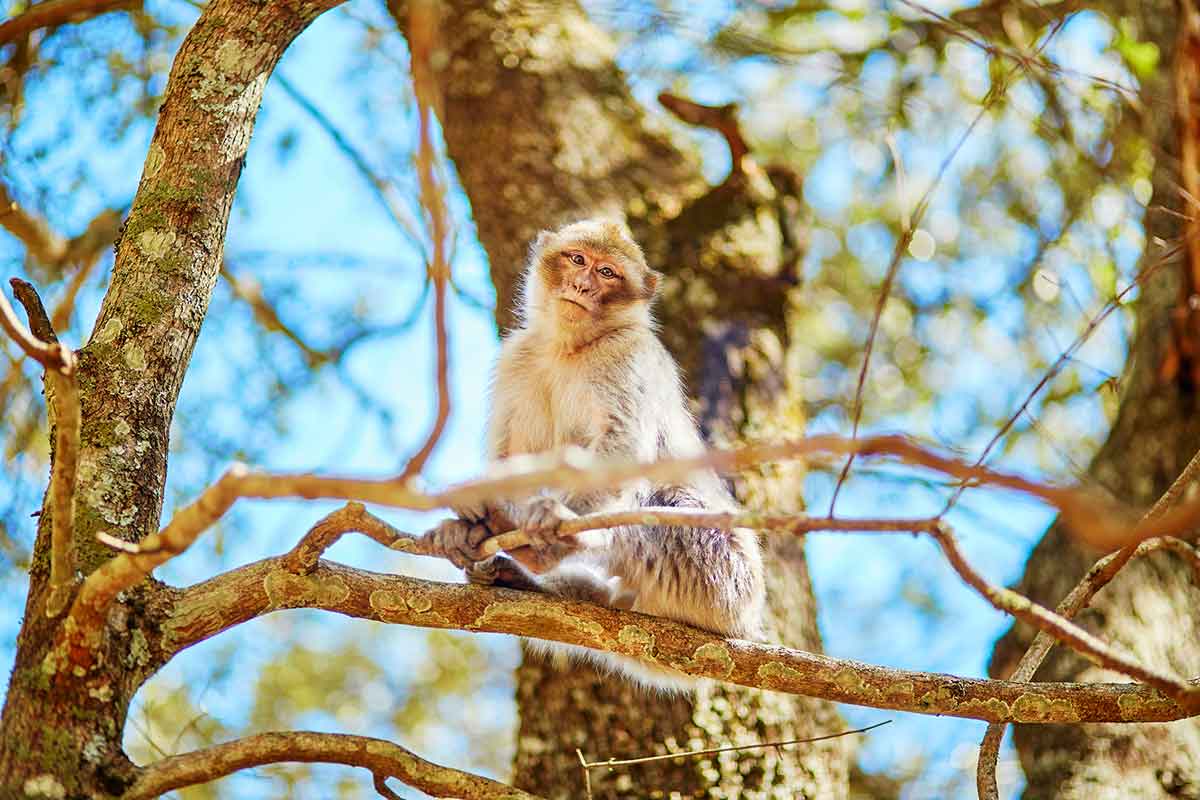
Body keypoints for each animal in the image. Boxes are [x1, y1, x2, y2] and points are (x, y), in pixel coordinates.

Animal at [421, 218, 765, 691]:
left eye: (607, 273)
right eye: (578, 259)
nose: (582, 285)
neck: (570, 348)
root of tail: (745, 626)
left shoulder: (628, 353)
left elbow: (622, 446)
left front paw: (548, 518)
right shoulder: (518, 357)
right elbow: (512, 457)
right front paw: (468, 517)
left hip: (723, 578)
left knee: (658, 507)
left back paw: (545, 543)